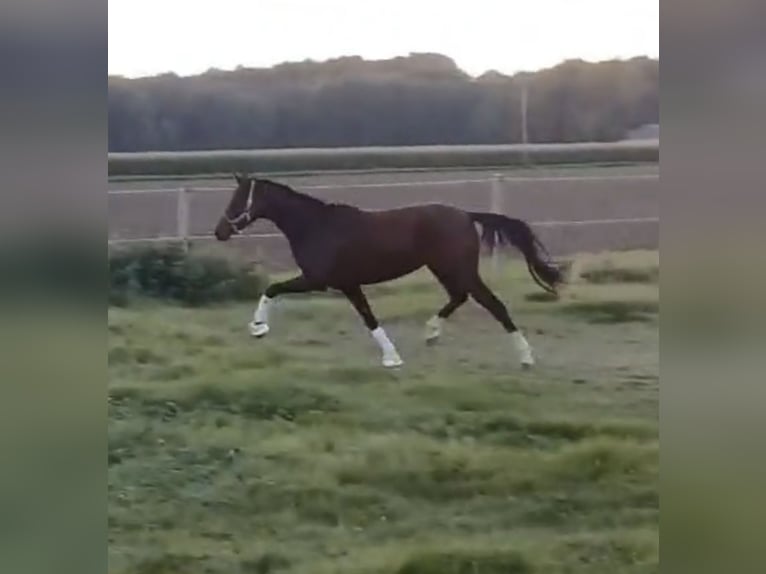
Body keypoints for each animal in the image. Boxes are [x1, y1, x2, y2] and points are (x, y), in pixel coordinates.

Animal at [216, 174, 564, 368]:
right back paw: (431, 333)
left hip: (458, 269)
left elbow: (272, 289)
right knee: (460, 297)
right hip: (444, 269)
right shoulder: (347, 284)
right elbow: (368, 317)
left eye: (237, 200)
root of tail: (466, 215)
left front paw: (258, 328)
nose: (220, 232)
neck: (316, 227)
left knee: (493, 304)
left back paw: (526, 357)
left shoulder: (319, 280)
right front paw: (392, 357)